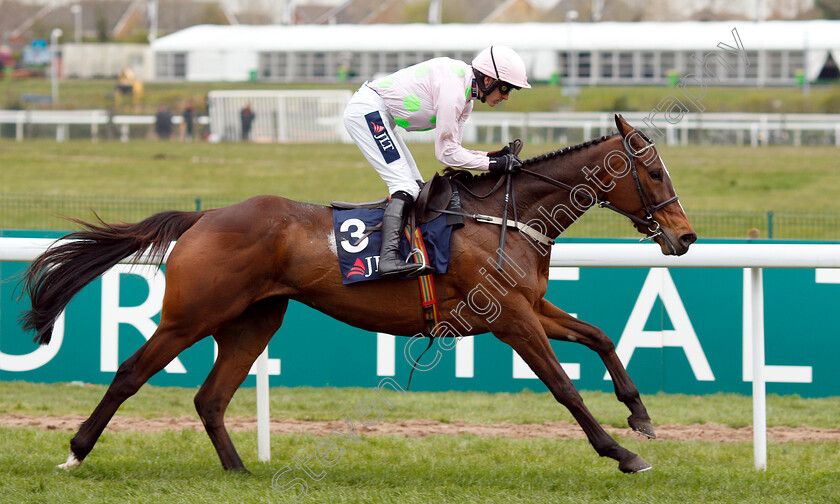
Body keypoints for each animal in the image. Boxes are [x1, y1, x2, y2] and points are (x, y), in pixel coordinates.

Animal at [19, 114, 700, 476]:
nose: (686, 236)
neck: (505, 217)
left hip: (254, 321)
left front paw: (640, 416)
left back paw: (238, 471)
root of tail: (206, 215)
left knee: (210, 397)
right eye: (654, 172)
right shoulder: (509, 319)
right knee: (130, 373)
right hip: (192, 315)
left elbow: (600, 336)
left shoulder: (529, 307)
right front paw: (619, 452)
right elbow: (563, 387)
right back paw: (76, 453)